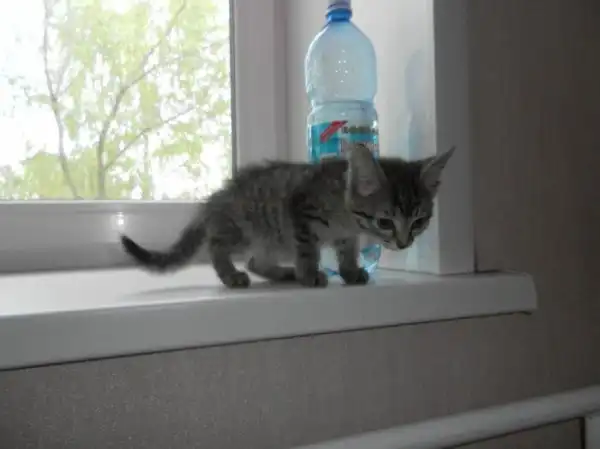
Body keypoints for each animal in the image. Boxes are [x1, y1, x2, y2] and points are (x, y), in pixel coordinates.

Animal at [120, 140, 454, 288]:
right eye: (385, 221)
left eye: (419, 221)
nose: (403, 243)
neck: (344, 214)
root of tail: (216, 199)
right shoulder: (300, 210)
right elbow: (308, 250)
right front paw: (309, 274)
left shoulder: (346, 235)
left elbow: (347, 251)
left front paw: (349, 271)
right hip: (246, 229)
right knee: (217, 245)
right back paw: (231, 274)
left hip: (274, 240)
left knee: (256, 261)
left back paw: (283, 272)